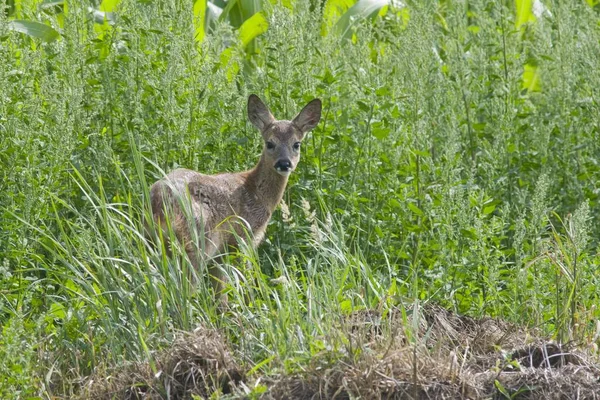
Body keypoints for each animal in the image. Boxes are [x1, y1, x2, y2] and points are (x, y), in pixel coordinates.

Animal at [148, 94, 322, 296]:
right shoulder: (243, 238)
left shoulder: (221, 252)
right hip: (196, 243)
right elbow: (244, 282)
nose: (284, 163)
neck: (256, 192)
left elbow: (220, 292)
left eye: (297, 144)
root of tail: (160, 200)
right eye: (270, 143)